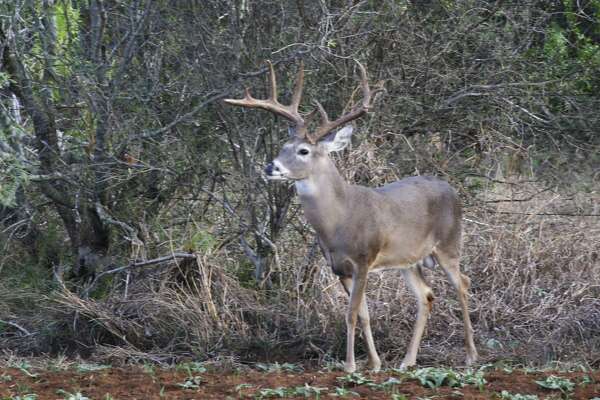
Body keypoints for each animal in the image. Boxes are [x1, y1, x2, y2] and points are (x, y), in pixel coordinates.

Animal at [225, 59, 478, 372]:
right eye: (283, 147)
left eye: (303, 150)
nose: (270, 167)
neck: (339, 221)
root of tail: (452, 190)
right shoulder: (339, 268)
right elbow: (363, 314)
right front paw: (375, 363)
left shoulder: (363, 260)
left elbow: (351, 312)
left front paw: (350, 366)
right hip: (409, 260)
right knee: (426, 295)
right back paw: (407, 361)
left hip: (449, 244)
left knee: (462, 284)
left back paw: (470, 355)